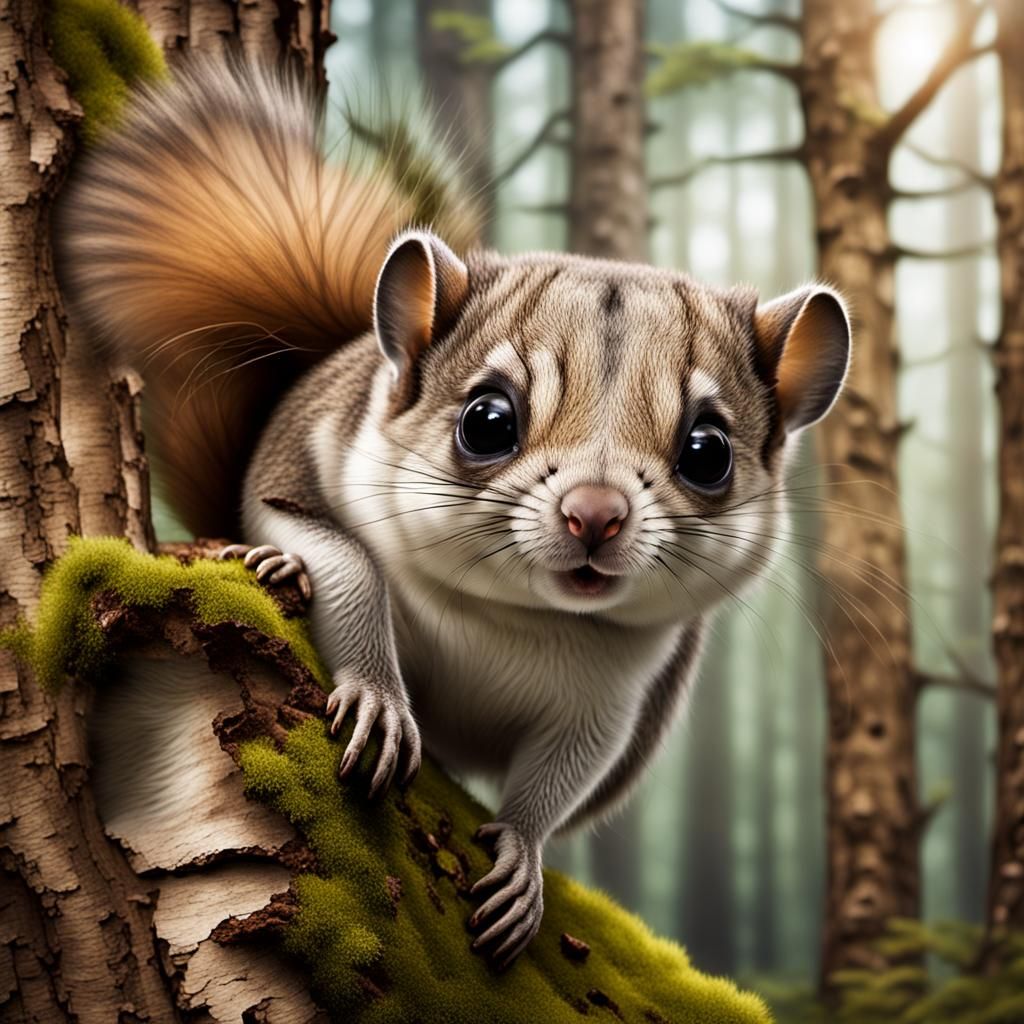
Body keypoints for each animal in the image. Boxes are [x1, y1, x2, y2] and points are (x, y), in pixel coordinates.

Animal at [57, 58, 851, 967]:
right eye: (488, 421)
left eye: (709, 451)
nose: (595, 515)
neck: (514, 617)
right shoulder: (298, 466)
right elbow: (344, 563)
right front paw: (376, 696)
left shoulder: (613, 700)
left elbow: (559, 778)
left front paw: (523, 860)